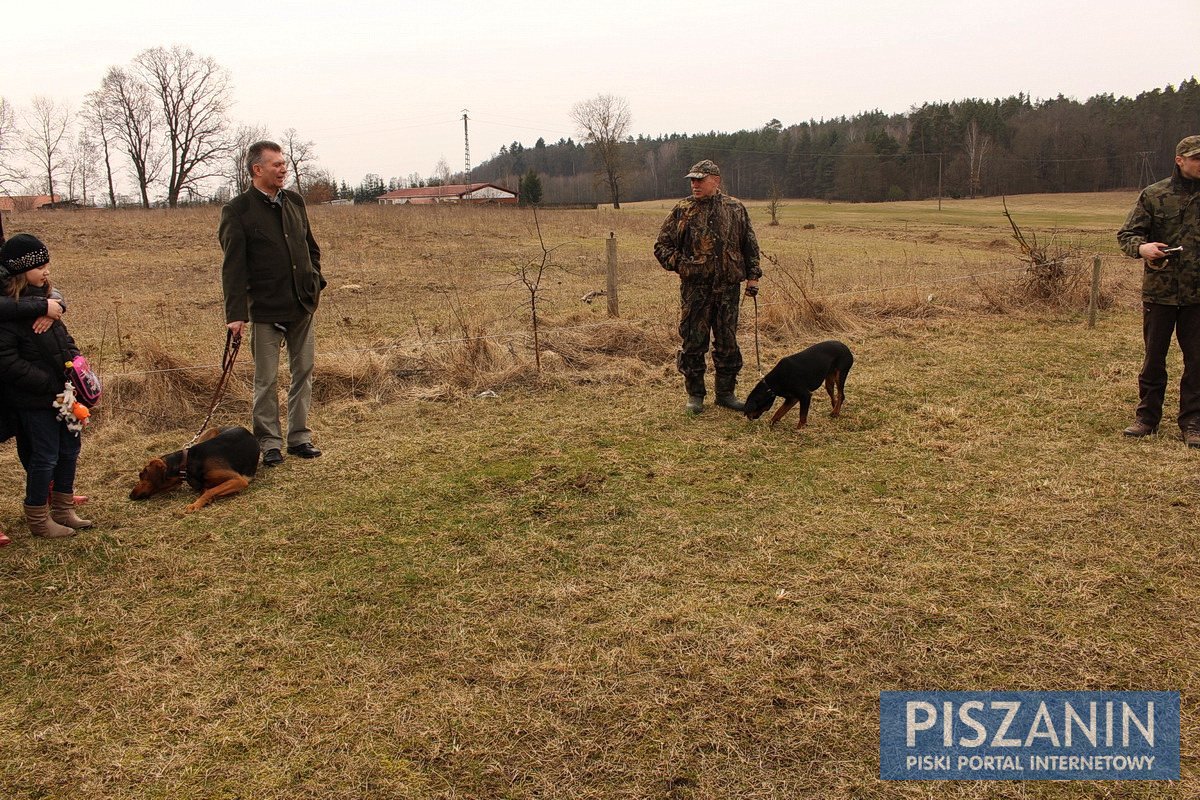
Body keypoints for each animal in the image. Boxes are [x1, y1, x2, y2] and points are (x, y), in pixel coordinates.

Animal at [130, 424, 260, 513]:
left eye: (141, 476)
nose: (130, 495)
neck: (187, 463)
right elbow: (207, 490)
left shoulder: (238, 480)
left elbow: (209, 491)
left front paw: (194, 505)